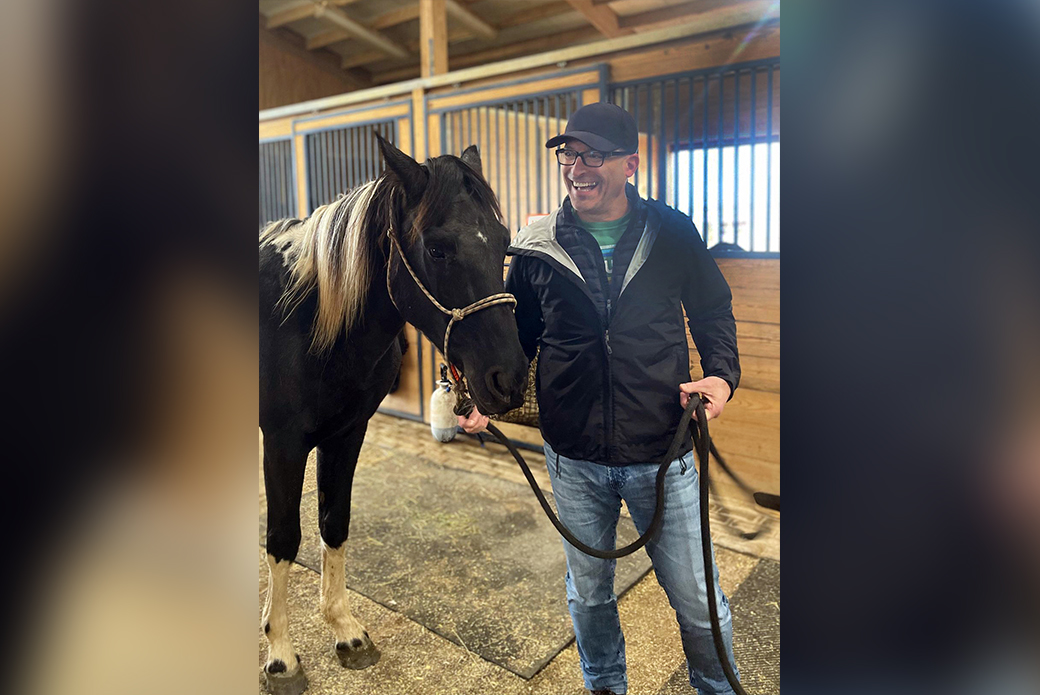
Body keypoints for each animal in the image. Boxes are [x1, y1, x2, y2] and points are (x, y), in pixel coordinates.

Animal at [260, 135, 528, 695]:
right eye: (437, 248)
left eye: (503, 242)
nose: (510, 379)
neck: (307, 320)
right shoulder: (283, 442)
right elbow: (283, 539)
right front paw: (281, 657)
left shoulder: (346, 432)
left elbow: (333, 522)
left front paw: (345, 630)